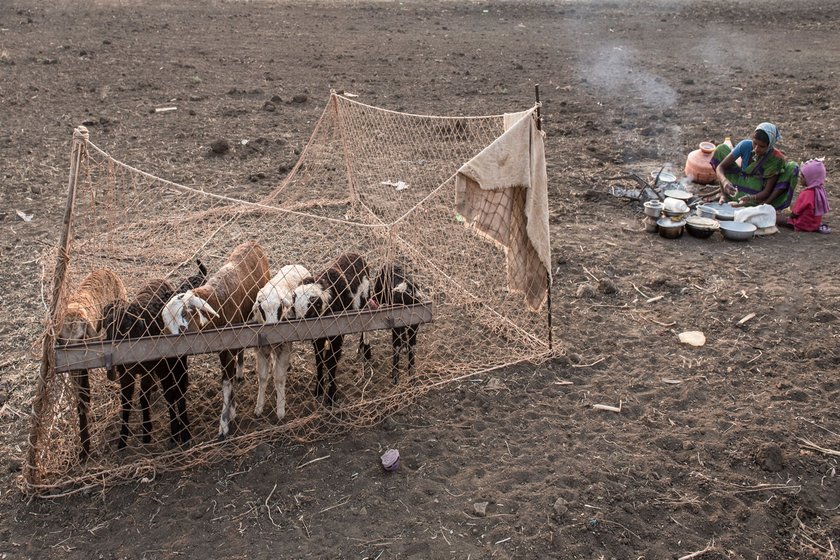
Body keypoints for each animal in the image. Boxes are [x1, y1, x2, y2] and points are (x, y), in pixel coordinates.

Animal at [57, 268, 128, 460]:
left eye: (81, 337)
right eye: (61, 340)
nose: (72, 361)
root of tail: (104, 269)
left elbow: (85, 395)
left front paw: (85, 446)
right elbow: (81, 399)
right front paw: (84, 447)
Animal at [101, 260, 208, 448]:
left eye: (126, 326)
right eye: (106, 325)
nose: (113, 353)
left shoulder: (154, 369)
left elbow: (151, 397)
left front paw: (151, 432)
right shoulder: (127, 374)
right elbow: (126, 402)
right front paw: (123, 439)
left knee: (177, 390)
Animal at [161, 240, 270, 438]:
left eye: (183, 319)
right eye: (165, 326)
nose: (172, 353)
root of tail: (252, 242)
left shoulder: (228, 345)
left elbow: (227, 383)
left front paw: (225, 423)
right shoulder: (222, 347)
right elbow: (228, 379)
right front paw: (232, 410)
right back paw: (239, 372)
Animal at [253, 262, 316, 420]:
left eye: (280, 308)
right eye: (261, 309)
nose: (272, 329)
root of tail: (296, 264)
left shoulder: (284, 346)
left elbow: (279, 379)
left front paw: (280, 409)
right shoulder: (262, 349)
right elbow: (262, 377)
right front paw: (259, 407)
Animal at [288, 254, 370, 406]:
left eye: (312, 304)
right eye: (294, 306)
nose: (301, 324)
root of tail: (356, 255)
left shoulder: (337, 334)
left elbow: (332, 362)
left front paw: (331, 396)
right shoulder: (317, 337)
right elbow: (319, 361)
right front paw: (318, 390)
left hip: (364, 299)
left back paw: (366, 351)